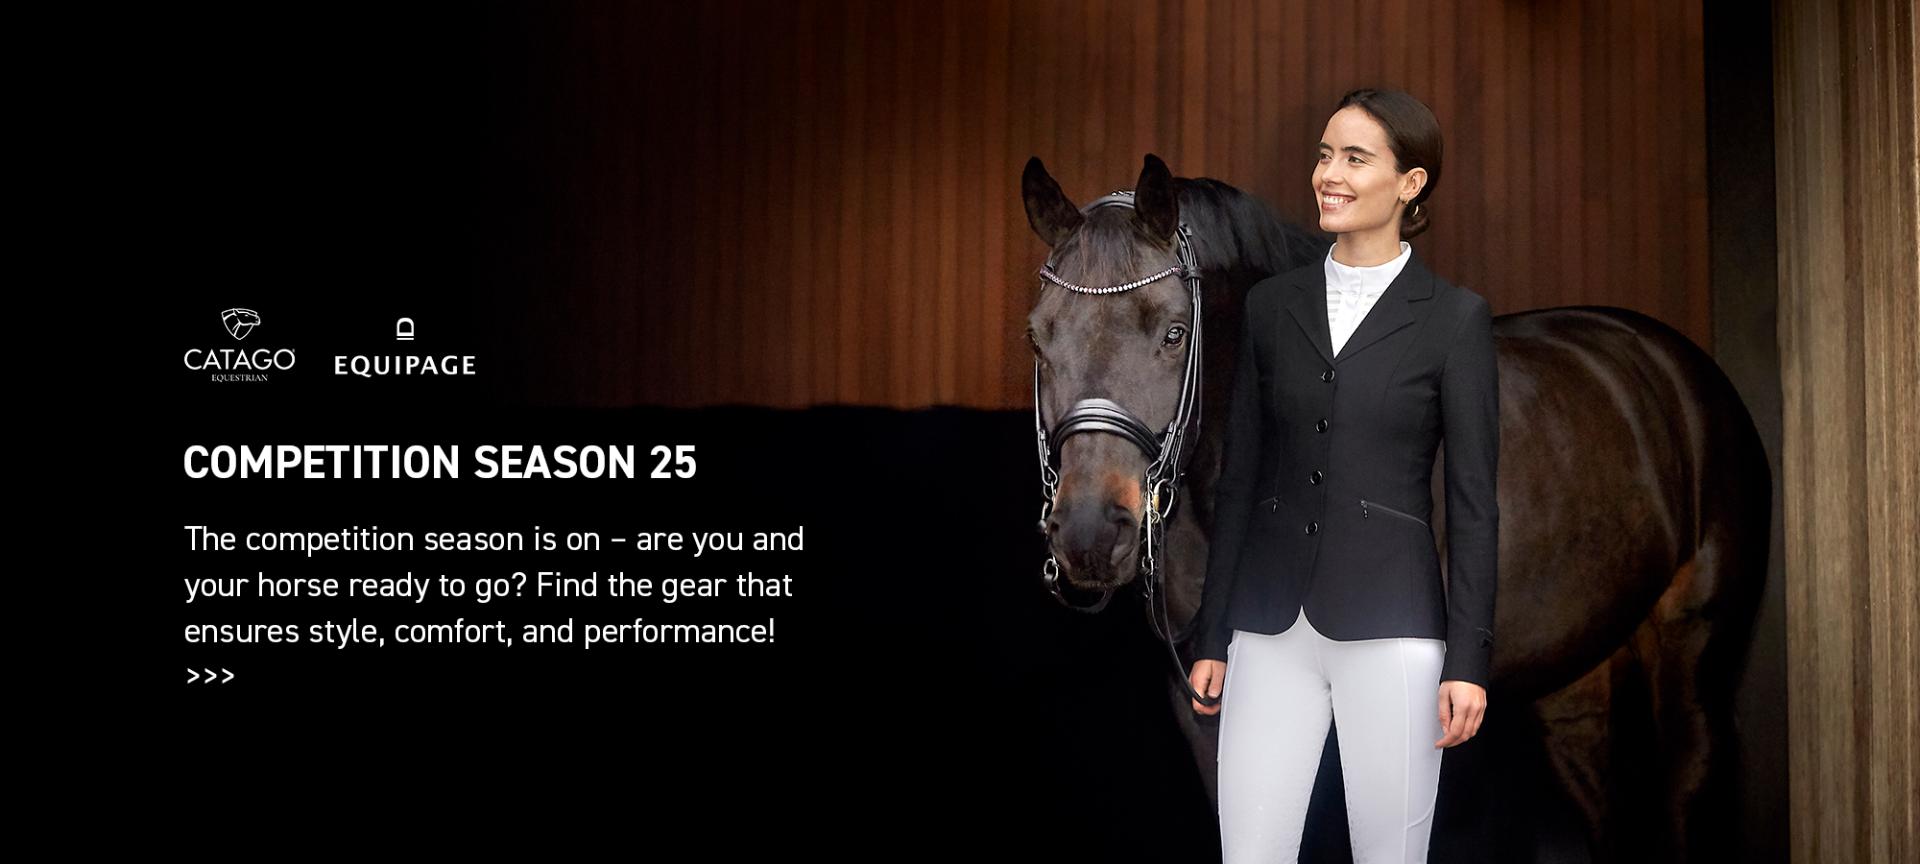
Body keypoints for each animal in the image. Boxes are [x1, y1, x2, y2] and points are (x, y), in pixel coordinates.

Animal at [1022, 153, 1770, 861]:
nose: (1090, 534)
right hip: (1575, 680)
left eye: (1175, 332)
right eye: (1038, 336)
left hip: (1691, 665)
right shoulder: (1209, 711)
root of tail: (1679, 369)